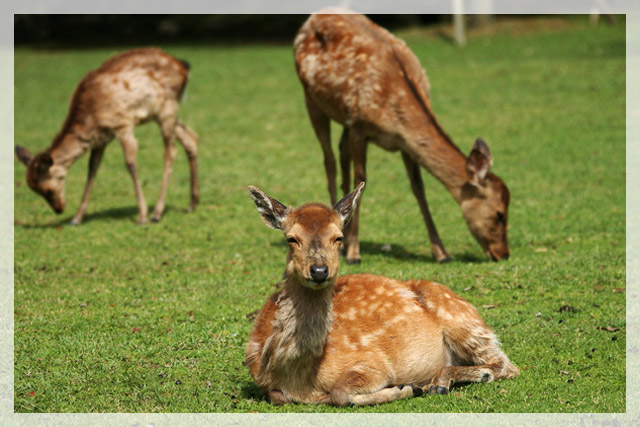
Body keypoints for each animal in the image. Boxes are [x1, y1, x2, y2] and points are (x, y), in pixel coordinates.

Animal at [15, 48, 200, 226]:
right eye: (35, 190)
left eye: (47, 190)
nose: (59, 209)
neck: (91, 119)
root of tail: (184, 67)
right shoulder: (101, 139)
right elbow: (92, 169)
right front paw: (76, 218)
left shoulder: (123, 124)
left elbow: (130, 164)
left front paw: (142, 216)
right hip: (163, 114)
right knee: (191, 138)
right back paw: (191, 204)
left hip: (167, 108)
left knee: (171, 151)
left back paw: (157, 213)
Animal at [245, 181, 520, 408]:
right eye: (291, 238)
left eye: (338, 238)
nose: (319, 271)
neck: (302, 376)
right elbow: (278, 396)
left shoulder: (374, 364)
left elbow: (340, 393)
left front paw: (405, 388)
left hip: (464, 322)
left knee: (506, 364)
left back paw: (440, 382)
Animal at [294, 9, 510, 264]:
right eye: (499, 214)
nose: (504, 253)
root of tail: (312, 17)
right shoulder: (359, 125)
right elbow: (361, 183)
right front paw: (355, 253)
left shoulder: (403, 143)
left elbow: (419, 188)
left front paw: (442, 253)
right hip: (312, 99)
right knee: (329, 161)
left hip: (342, 114)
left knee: (341, 151)